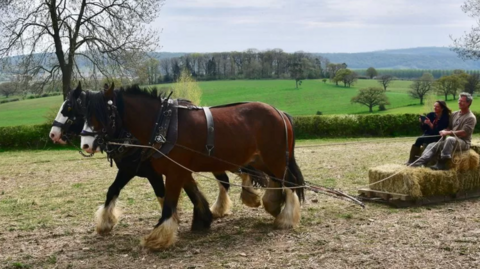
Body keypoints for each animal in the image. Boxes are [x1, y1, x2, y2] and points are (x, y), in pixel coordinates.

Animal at [49, 84, 264, 234]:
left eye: (70, 108)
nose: (53, 134)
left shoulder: (153, 172)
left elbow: (163, 194)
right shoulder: (129, 169)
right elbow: (113, 190)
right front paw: (105, 223)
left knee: (235, 175)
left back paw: (243, 199)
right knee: (230, 178)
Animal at [80, 82, 302, 248]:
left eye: (102, 114)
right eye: (83, 113)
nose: (86, 144)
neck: (164, 125)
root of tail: (279, 112)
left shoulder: (174, 171)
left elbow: (169, 202)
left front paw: (158, 237)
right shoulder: (177, 171)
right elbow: (192, 193)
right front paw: (202, 219)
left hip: (275, 159)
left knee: (289, 183)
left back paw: (285, 219)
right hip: (262, 160)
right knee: (277, 181)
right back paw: (273, 205)